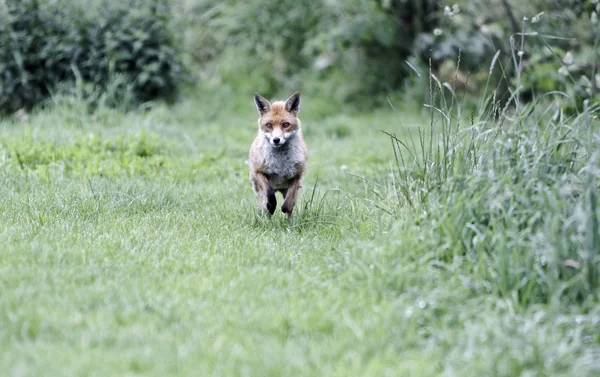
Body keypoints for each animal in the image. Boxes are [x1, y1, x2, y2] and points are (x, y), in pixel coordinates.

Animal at [248, 91, 308, 219]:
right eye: (269, 125)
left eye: (285, 124)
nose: (276, 140)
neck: (280, 164)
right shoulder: (258, 171)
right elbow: (269, 192)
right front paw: (272, 206)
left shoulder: (297, 176)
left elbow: (289, 202)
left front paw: (285, 208)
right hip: (259, 189)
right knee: (265, 207)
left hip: (287, 189)